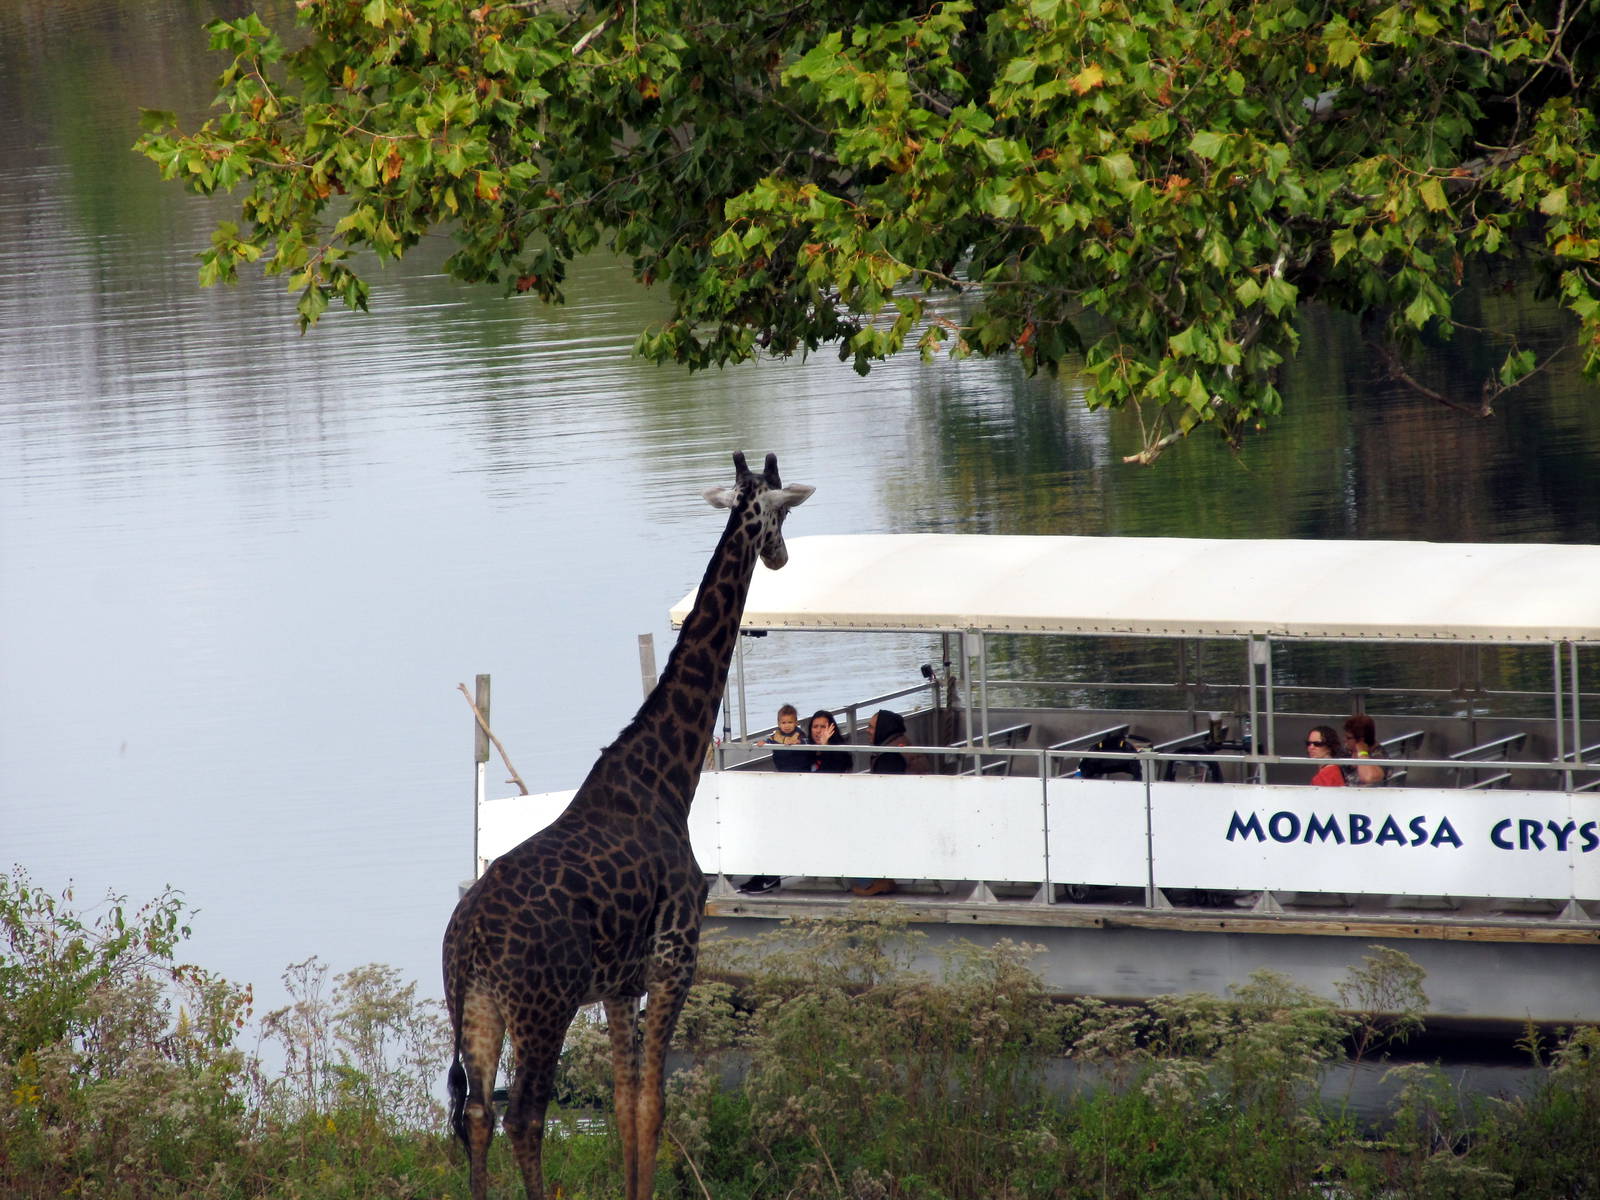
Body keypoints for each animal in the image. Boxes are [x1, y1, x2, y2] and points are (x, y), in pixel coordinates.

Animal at [443, 451, 813, 1200]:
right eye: (780, 512)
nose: (782, 556)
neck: (668, 778)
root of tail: (466, 941)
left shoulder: (618, 984)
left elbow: (621, 1104)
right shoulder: (675, 959)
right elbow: (653, 1103)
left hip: (476, 1008)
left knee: (477, 1116)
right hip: (543, 1008)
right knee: (524, 1117)